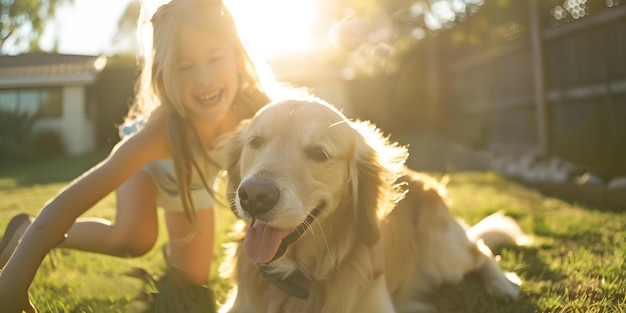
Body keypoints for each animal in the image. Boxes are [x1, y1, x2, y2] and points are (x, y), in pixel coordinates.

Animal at [217, 96, 528, 310]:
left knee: (480, 250)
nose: (254, 196)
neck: (294, 277)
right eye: (255, 142)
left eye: (319, 153)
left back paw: (502, 285)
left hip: (442, 254)